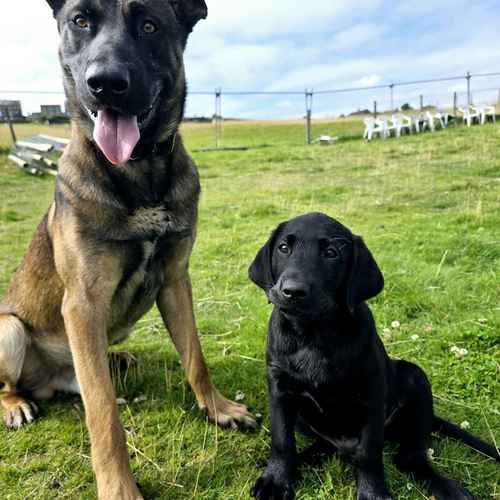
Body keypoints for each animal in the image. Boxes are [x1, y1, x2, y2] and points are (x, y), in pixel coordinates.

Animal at [0, 1, 256, 498]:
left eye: (150, 25)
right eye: (80, 21)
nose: (106, 83)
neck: (139, 172)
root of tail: (49, 382)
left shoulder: (175, 281)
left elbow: (195, 358)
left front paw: (218, 409)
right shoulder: (82, 304)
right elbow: (104, 415)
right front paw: (118, 486)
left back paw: (115, 360)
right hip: (10, 330)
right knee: (14, 384)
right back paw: (16, 403)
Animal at [248, 213, 498, 498]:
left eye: (331, 253)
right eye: (283, 248)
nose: (292, 290)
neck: (314, 333)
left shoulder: (371, 395)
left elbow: (368, 453)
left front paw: (372, 492)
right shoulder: (279, 389)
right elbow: (281, 441)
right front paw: (276, 480)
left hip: (415, 378)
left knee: (410, 459)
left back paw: (447, 487)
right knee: (326, 445)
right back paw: (304, 460)